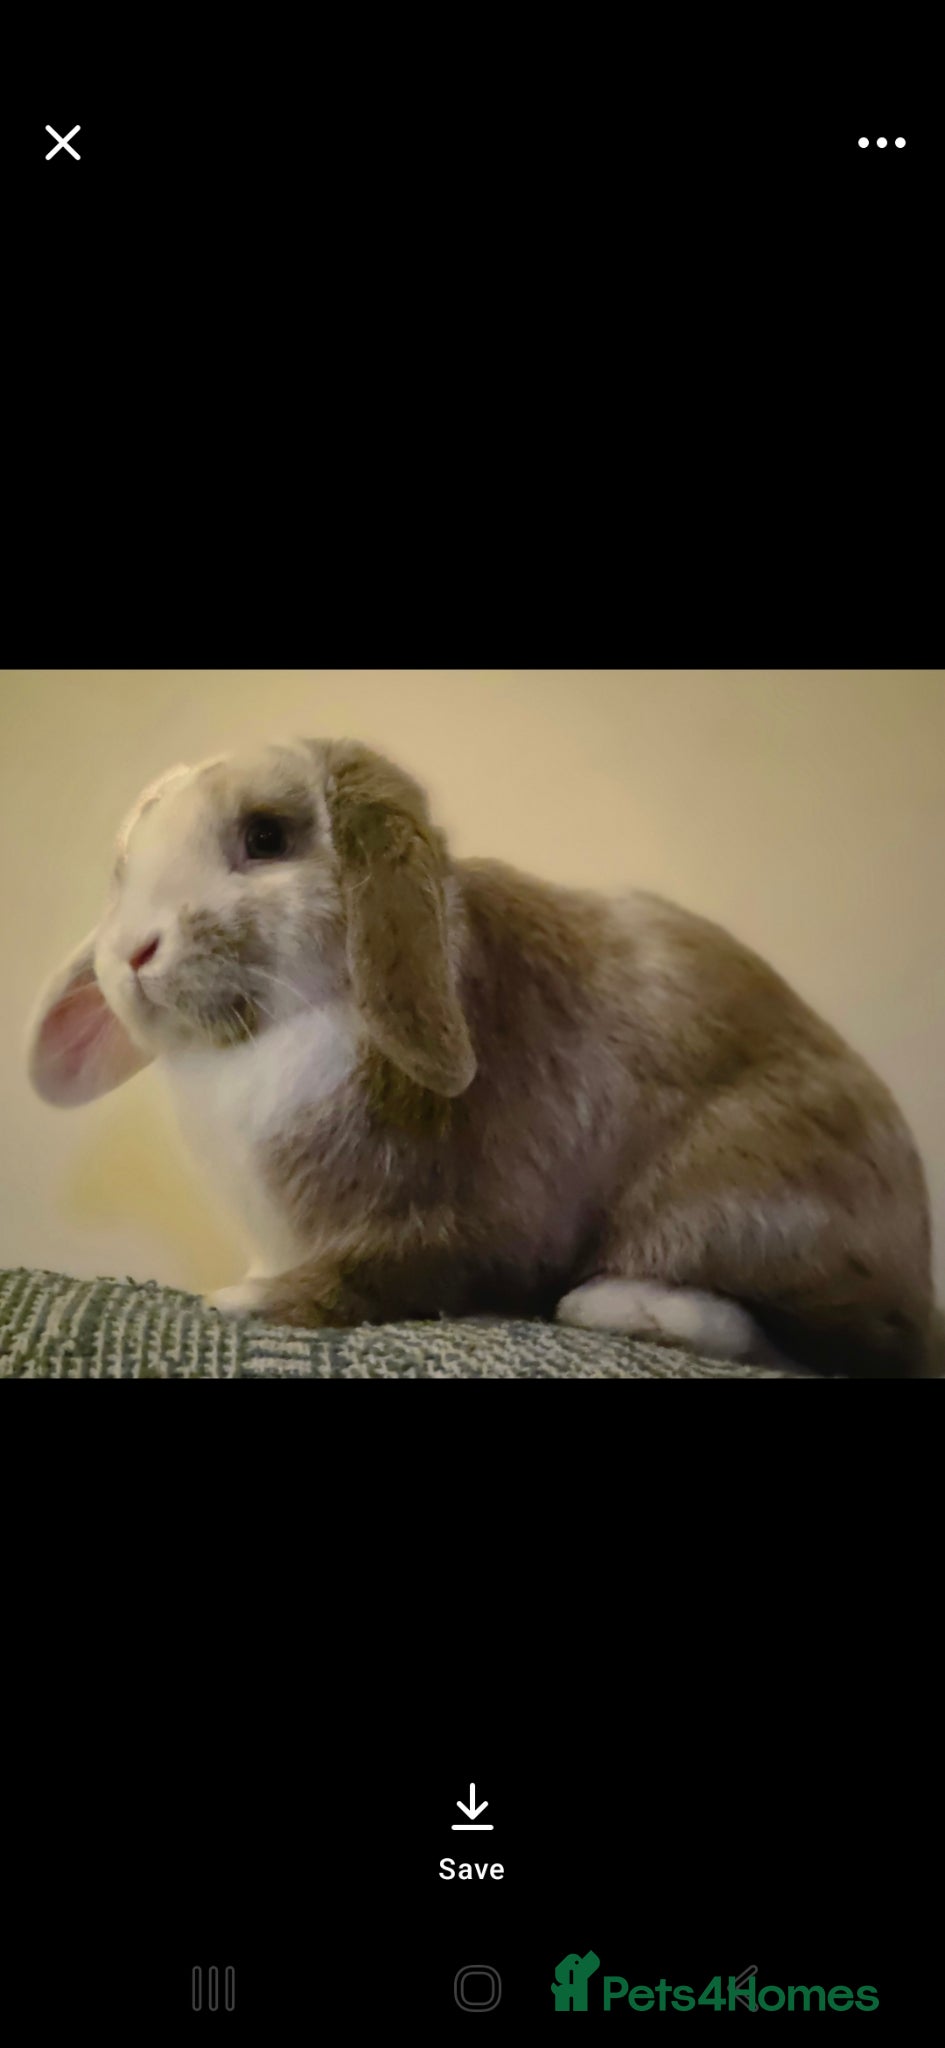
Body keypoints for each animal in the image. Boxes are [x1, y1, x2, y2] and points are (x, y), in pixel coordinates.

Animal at [26, 736, 937, 1376]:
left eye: (265, 836)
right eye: (121, 867)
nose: (130, 952)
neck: (284, 1031)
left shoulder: (460, 1227)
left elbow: (374, 1277)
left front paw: (243, 1300)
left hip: (737, 1202)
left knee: (839, 1347)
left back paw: (619, 1309)